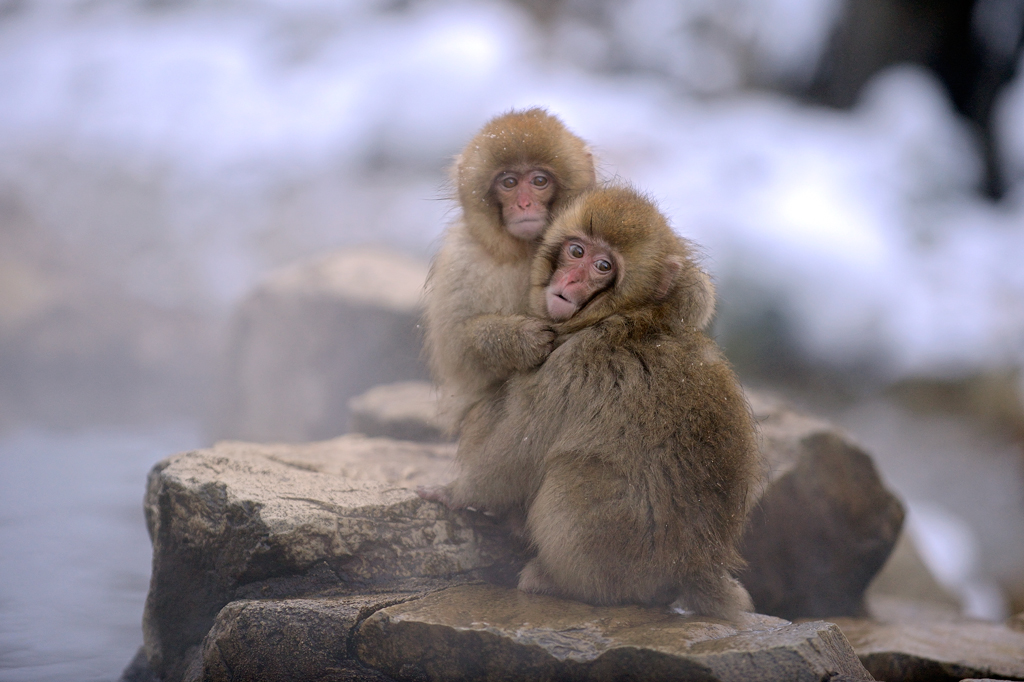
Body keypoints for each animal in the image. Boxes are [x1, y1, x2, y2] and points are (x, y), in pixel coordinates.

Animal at [421, 184, 761, 614]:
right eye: (576, 251)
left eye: (602, 267)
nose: (570, 279)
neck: (622, 315)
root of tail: (699, 564)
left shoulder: (566, 365)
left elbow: (516, 453)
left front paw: (454, 493)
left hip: (622, 551)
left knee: (570, 475)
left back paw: (559, 582)